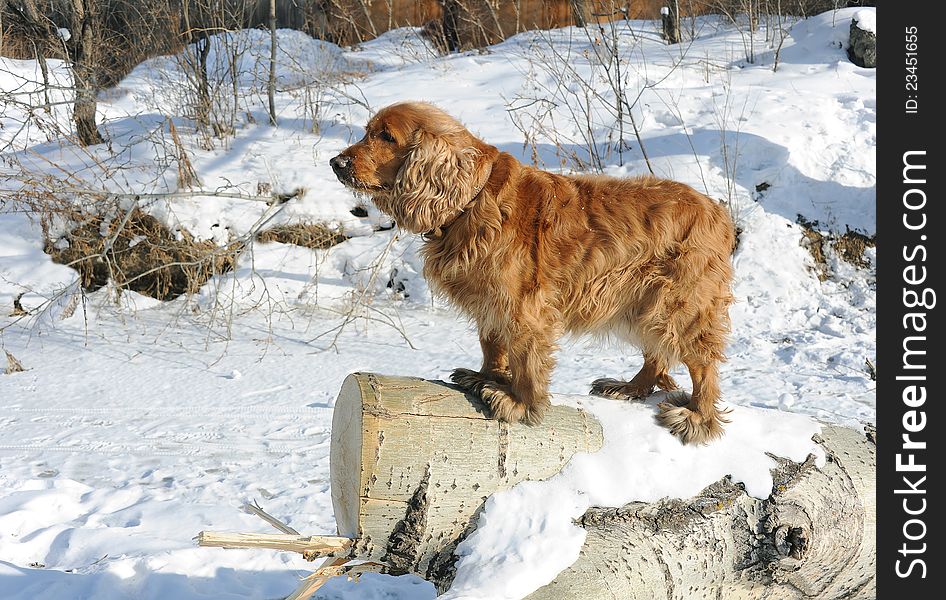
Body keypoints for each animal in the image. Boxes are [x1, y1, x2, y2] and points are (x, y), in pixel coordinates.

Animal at [332, 101, 736, 442]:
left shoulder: (524, 306)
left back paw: (697, 417)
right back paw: (630, 388)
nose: (337, 162)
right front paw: (485, 377)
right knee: (657, 353)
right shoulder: (491, 301)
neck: (473, 199)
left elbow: (525, 358)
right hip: (644, 302)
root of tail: (718, 210)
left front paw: (520, 403)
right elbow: (492, 343)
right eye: (367, 132)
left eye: (386, 137)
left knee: (703, 365)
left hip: (679, 304)